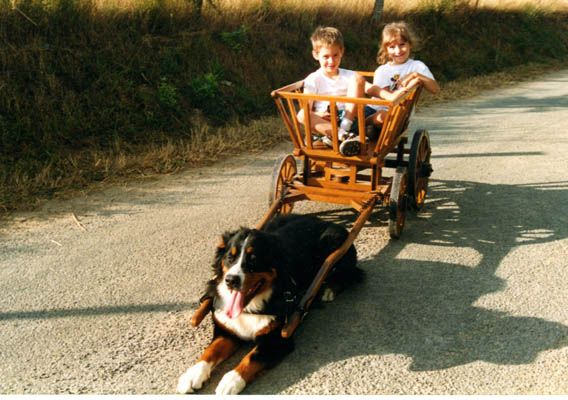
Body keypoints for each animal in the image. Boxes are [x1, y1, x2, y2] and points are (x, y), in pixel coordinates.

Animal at [178, 212, 364, 394]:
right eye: (230, 257)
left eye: (253, 259)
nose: (230, 280)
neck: (250, 307)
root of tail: (323, 221)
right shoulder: (227, 331)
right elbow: (211, 350)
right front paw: (192, 374)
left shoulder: (277, 339)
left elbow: (251, 358)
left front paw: (231, 381)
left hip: (336, 247)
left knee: (352, 273)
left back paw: (328, 290)